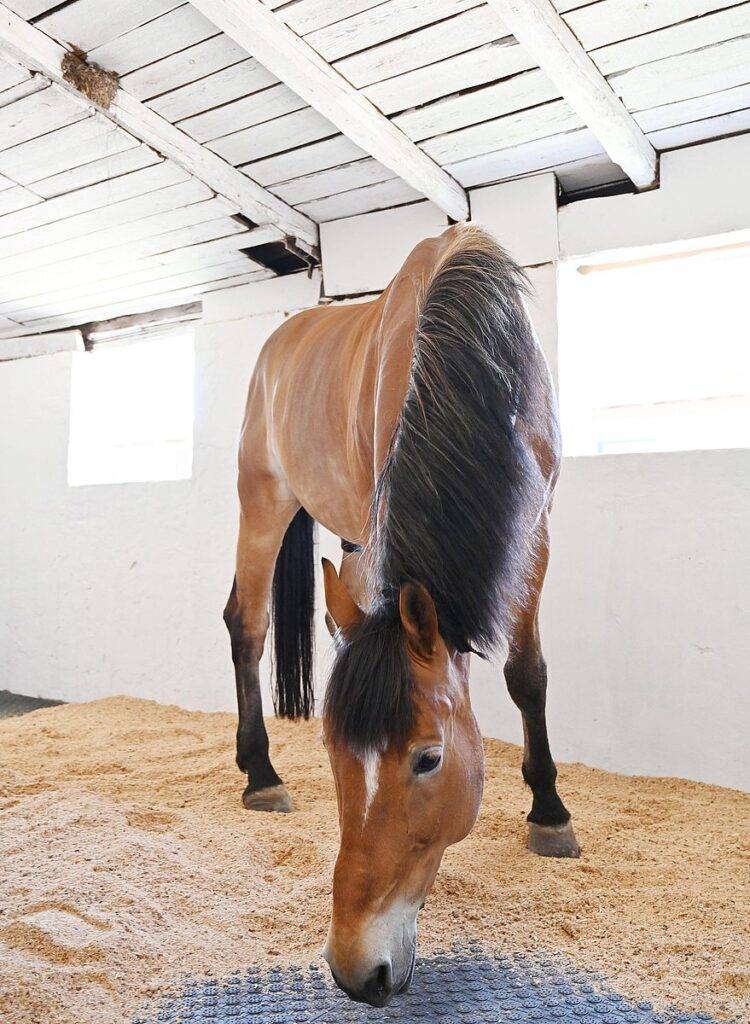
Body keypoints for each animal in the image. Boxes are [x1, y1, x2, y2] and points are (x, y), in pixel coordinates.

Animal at [222, 226, 581, 1007]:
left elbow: (527, 674)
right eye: (332, 753)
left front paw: (549, 812)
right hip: (264, 500)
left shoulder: (534, 531)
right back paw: (260, 773)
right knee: (247, 624)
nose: (357, 971)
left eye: (427, 759)